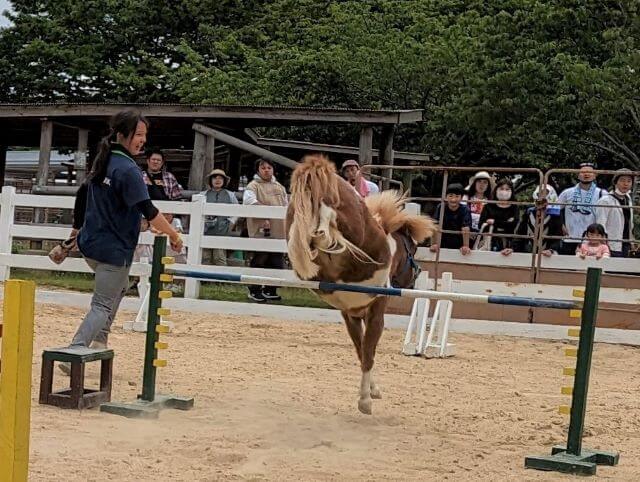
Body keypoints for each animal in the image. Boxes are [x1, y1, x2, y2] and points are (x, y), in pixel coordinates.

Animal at [284, 155, 436, 414]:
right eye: (414, 250)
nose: (414, 277)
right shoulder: (376, 314)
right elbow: (368, 352)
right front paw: (365, 400)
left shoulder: (352, 316)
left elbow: (361, 350)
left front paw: (372, 391)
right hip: (351, 225)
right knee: (326, 221)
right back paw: (323, 231)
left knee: (307, 239)